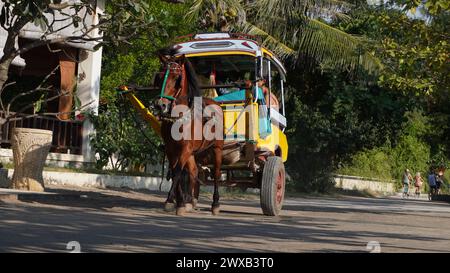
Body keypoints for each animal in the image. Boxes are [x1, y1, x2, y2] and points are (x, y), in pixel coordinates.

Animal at [156, 47, 225, 216]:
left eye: (177, 78)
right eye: (159, 77)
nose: (160, 105)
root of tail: (216, 104)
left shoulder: (185, 149)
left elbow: (178, 172)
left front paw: (171, 200)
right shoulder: (171, 150)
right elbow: (177, 173)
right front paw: (179, 202)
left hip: (217, 148)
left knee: (216, 174)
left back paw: (215, 204)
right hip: (194, 152)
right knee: (193, 171)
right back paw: (190, 201)